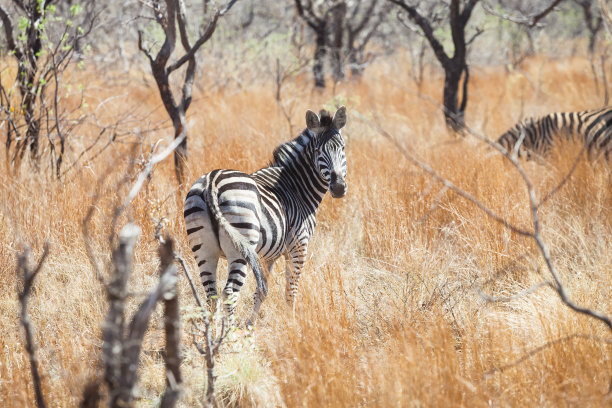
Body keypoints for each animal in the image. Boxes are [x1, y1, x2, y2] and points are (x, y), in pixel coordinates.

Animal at [183, 107, 350, 324]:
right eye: (318, 151)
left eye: (343, 148)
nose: (338, 188)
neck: (296, 187)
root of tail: (212, 180)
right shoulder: (299, 246)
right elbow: (291, 290)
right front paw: (291, 322)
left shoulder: (267, 256)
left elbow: (262, 290)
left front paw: (251, 324)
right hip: (241, 247)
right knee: (229, 292)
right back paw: (230, 331)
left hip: (203, 248)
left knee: (211, 293)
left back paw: (212, 332)